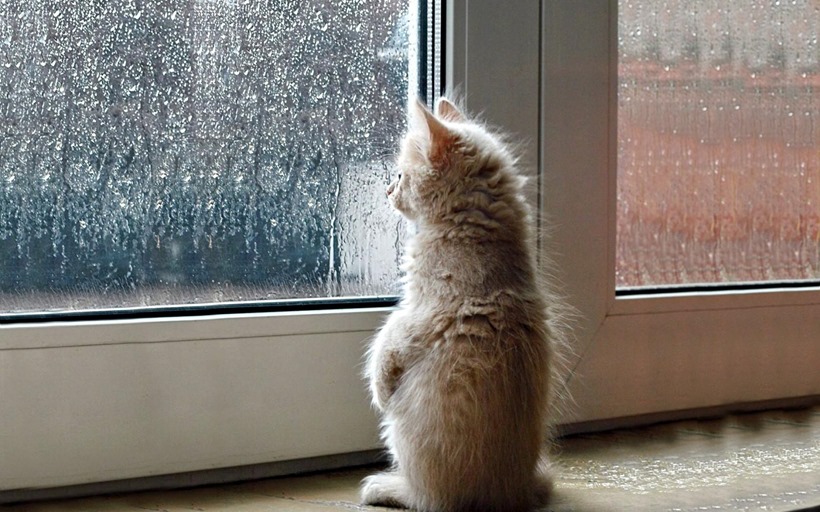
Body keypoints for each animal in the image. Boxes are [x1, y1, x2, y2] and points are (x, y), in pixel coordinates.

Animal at [361, 97, 566, 512]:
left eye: (400, 176)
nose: (388, 190)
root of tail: (508, 494)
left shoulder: (419, 313)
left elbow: (385, 344)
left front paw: (378, 388)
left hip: (401, 429)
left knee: (429, 499)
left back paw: (386, 487)